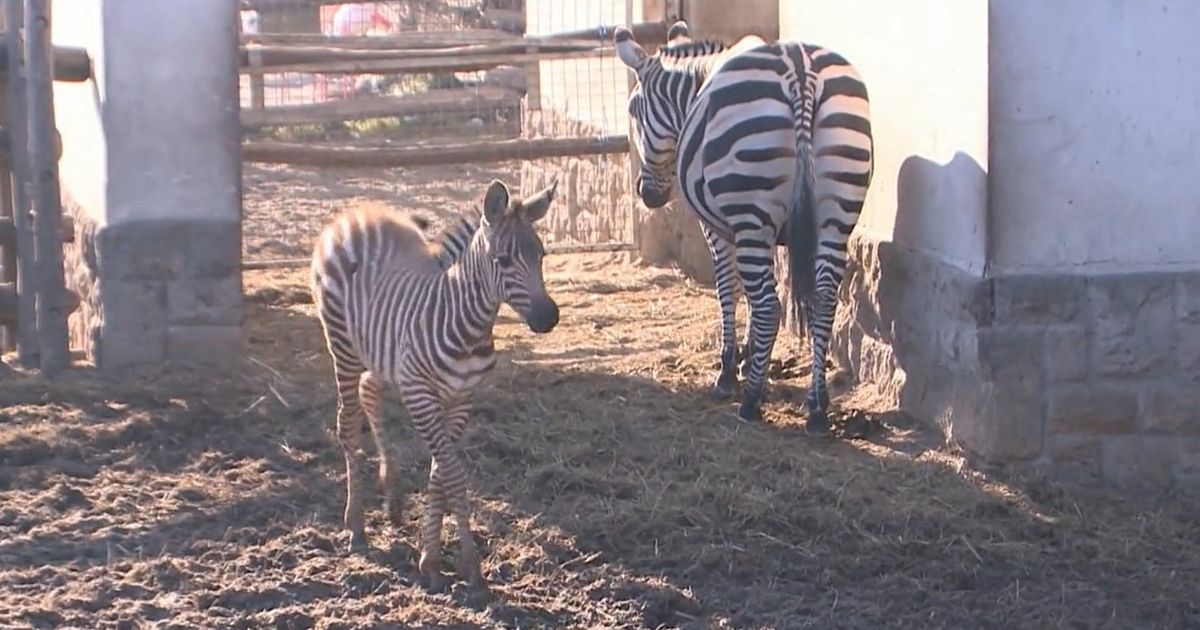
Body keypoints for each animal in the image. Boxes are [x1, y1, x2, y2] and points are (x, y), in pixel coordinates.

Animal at [314, 176, 566, 590]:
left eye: (542, 255)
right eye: (503, 260)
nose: (548, 318)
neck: (465, 324)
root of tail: (354, 214)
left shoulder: (461, 398)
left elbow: (439, 474)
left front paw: (430, 559)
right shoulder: (419, 393)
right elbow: (453, 474)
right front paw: (468, 563)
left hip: (380, 349)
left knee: (369, 392)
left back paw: (392, 496)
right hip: (343, 347)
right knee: (347, 425)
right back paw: (356, 525)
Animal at [614, 20, 878, 432]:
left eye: (632, 109)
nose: (648, 195)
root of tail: (800, 70)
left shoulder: (720, 229)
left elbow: (729, 289)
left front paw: (729, 372)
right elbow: (752, 299)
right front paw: (755, 361)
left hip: (751, 208)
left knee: (770, 304)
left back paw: (750, 403)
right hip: (836, 212)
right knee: (823, 298)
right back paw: (817, 408)